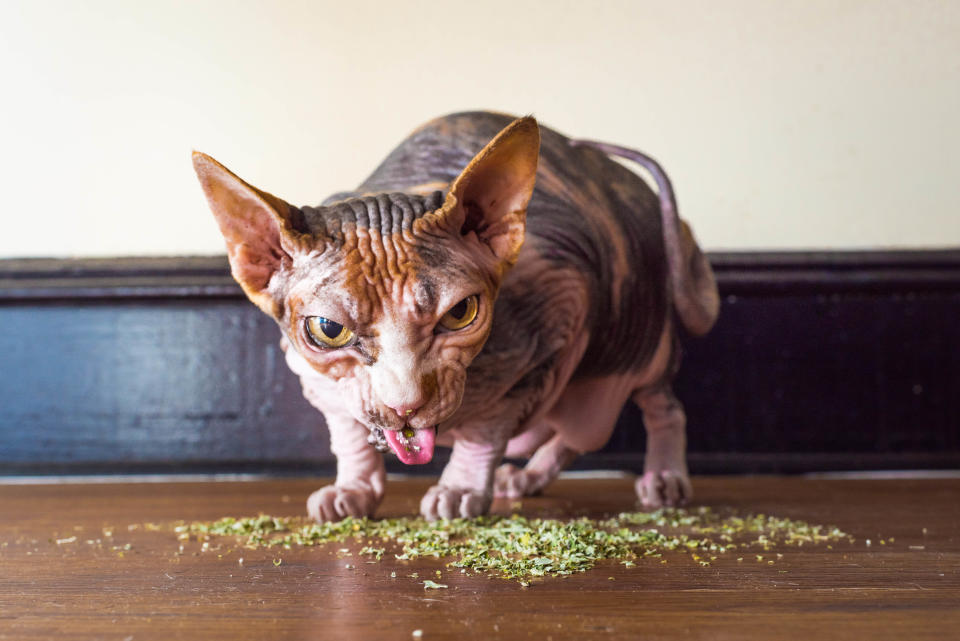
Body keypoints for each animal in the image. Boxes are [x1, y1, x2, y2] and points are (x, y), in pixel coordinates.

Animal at [193, 110, 720, 520]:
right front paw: (353, 489)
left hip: (641, 336)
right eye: (329, 329)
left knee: (657, 404)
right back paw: (527, 478)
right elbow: (350, 432)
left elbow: (489, 427)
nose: (405, 406)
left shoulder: (558, 310)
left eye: (460, 312)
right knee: (577, 434)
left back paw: (665, 477)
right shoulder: (313, 376)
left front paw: (462, 487)